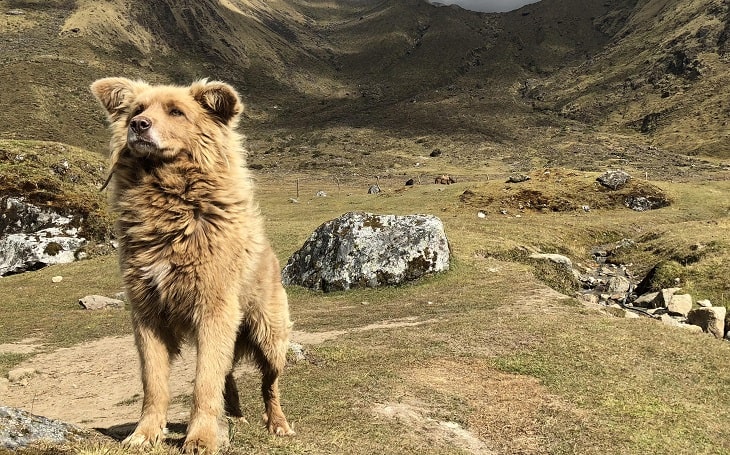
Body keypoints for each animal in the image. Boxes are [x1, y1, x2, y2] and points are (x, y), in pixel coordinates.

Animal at [90, 77, 292, 452]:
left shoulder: (214, 308)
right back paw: (235, 417)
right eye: (138, 109)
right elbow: (154, 384)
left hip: (270, 336)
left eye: (176, 112)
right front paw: (144, 434)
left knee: (269, 385)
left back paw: (278, 424)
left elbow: (204, 383)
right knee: (228, 375)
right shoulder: (147, 314)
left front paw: (201, 437)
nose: (138, 125)